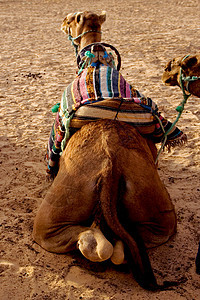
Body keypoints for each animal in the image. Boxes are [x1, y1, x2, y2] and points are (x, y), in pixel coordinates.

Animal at [33, 11, 179, 288]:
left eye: (70, 20)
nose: (62, 23)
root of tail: (111, 168)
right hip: (159, 213)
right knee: (139, 238)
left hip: (52, 214)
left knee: (83, 242)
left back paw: (95, 242)